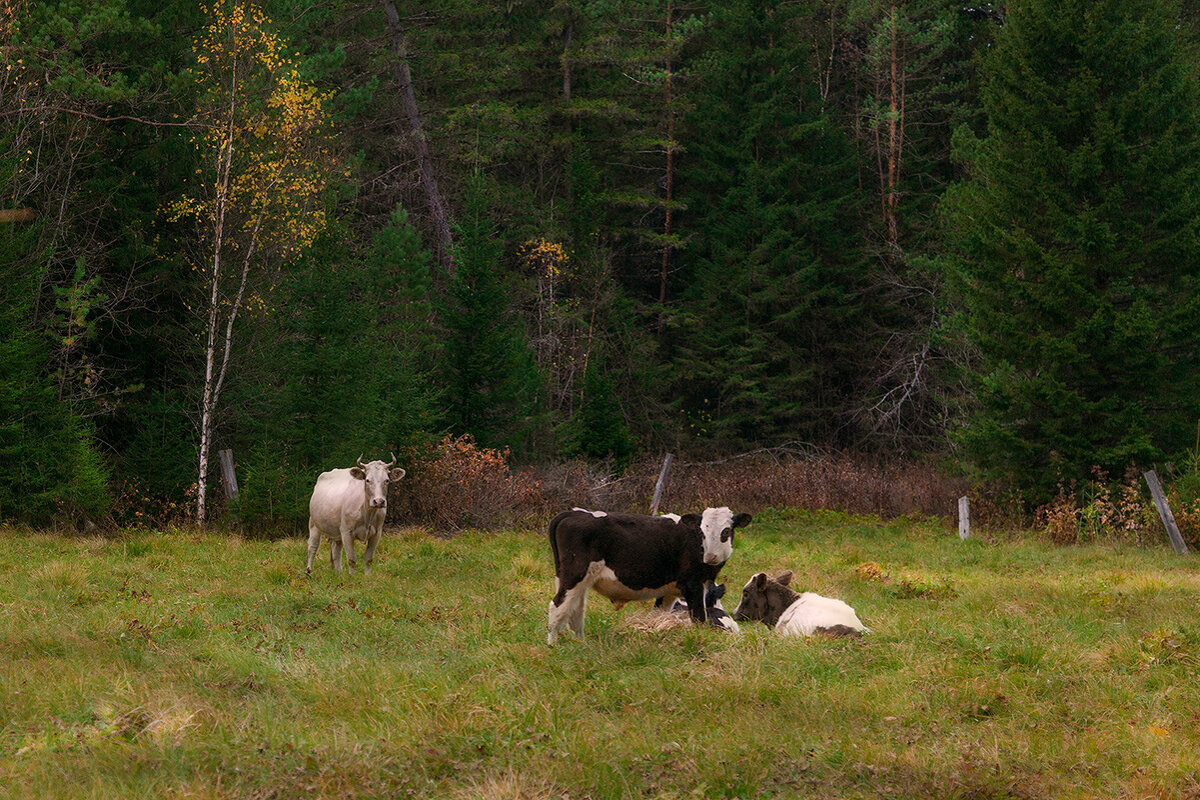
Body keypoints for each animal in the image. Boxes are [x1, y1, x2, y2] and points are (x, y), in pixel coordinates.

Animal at [549, 510, 753, 647]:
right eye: (702, 532)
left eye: (726, 531)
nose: (710, 557)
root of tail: (573, 513)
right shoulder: (693, 585)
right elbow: (698, 618)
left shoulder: (671, 591)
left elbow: (657, 616)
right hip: (574, 576)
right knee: (557, 606)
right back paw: (553, 646)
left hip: (575, 581)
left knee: (575, 610)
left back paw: (581, 643)